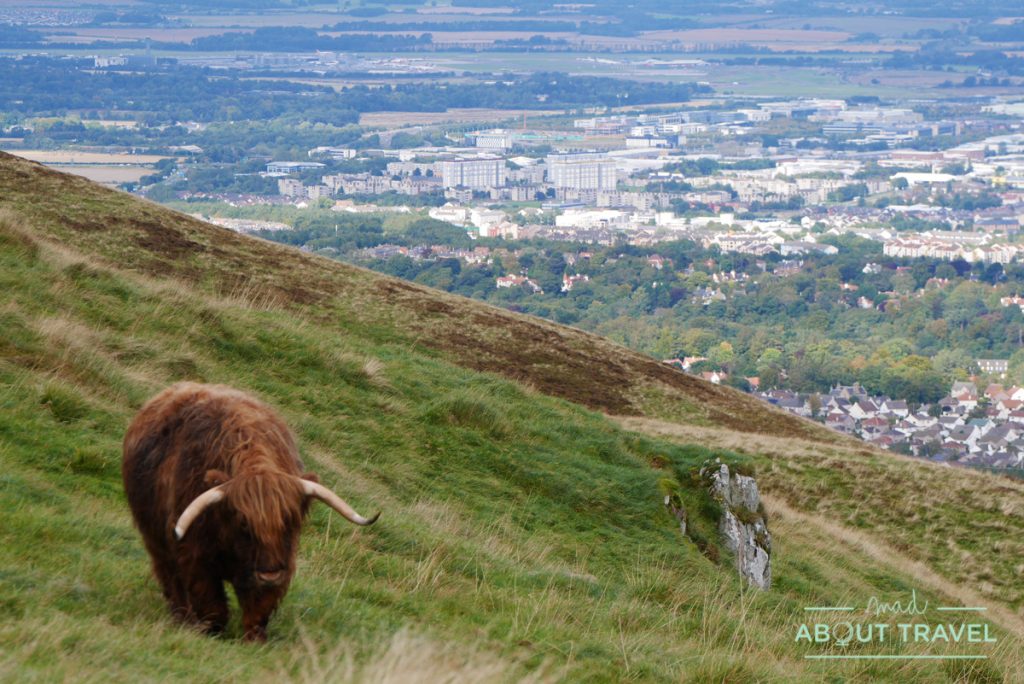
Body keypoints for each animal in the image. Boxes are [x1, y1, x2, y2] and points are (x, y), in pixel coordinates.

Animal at [122, 382, 379, 642]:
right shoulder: (194, 554)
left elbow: (259, 605)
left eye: (289, 521)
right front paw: (211, 631)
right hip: (155, 539)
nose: (269, 575)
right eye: (243, 523)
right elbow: (210, 599)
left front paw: (255, 638)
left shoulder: (282, 560)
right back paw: (181, 617)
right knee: (170, 578)